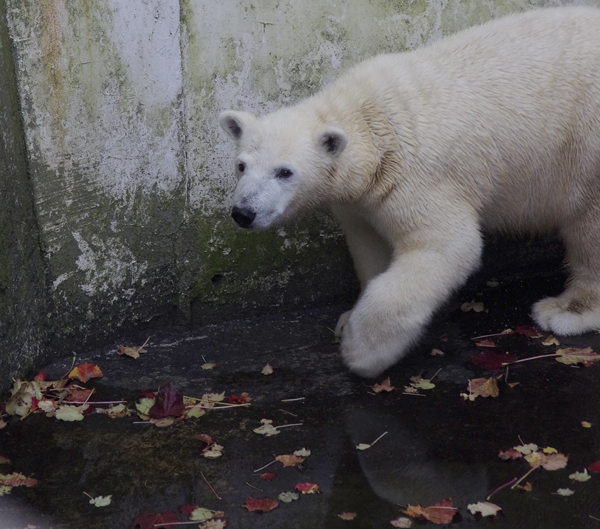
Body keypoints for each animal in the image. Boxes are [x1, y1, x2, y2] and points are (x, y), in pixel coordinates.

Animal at [219, 6, 600, 378]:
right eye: (241, 165)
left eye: (285, 172)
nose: (243, 212)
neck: (372, 124)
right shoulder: (361, 201)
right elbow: (369, 245)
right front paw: (347, 318)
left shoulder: (416, 178)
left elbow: (445, 245)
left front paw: (360, 350)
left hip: (586, 145)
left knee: (588, 228)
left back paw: (565, 310)